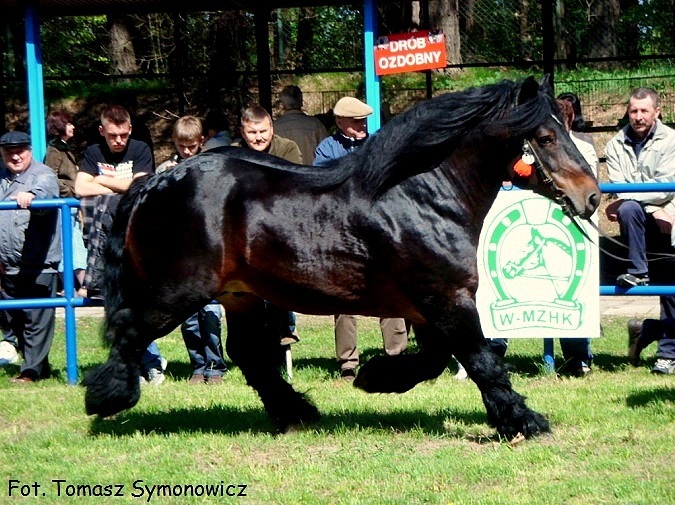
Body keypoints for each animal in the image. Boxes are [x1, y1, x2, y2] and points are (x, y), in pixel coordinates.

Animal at [86, 77, 604, 440]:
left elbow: (435, 360)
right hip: (174, 293)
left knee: (249, 354)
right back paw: (105, 398)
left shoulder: (427, 308)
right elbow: (481, 361)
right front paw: (525, 421)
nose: (592, 197)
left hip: (239, 295)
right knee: (131, 332)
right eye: (545, 136)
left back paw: (296, 412)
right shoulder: (448, 299)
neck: (424, 195)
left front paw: (376, 378)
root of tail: (154, 183)